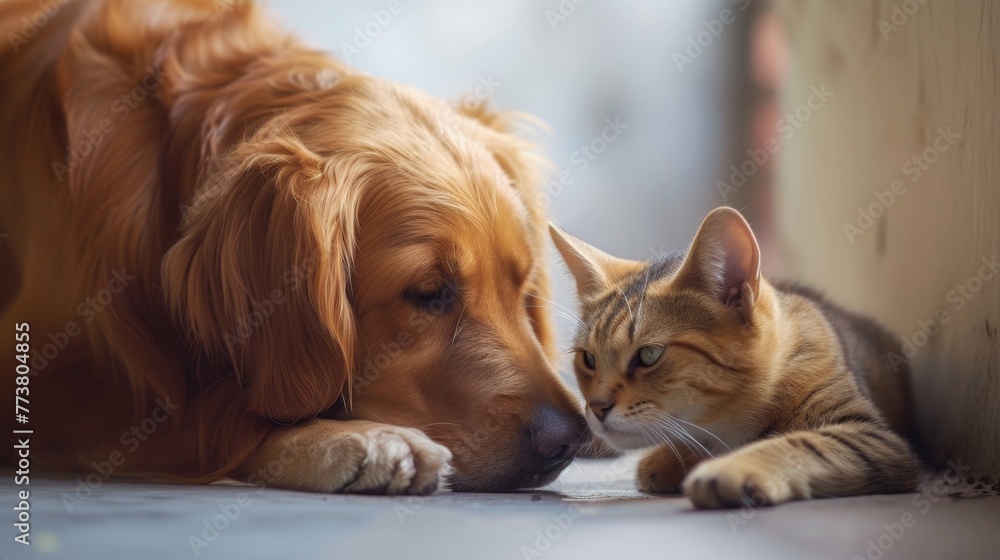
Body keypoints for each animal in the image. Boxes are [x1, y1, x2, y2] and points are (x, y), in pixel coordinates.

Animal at [0, 0, 588, 492]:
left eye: (522, 288)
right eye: (428, 292)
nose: (568, 438)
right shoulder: (44, 380)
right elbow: (211, 416)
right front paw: (358, 439)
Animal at [556, 209, 920, 508]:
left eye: (649, 355)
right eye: (589, 359)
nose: (595, 408)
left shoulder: (873, 437)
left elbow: (801, 444)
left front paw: (733, 468)